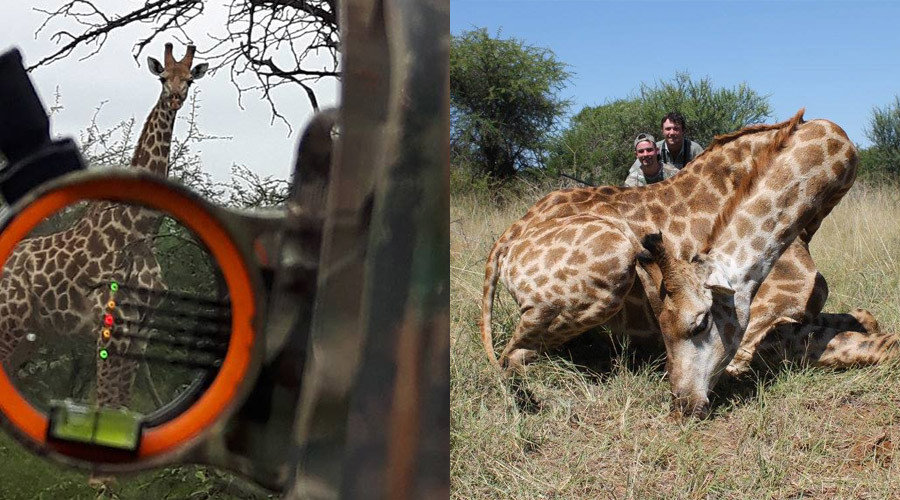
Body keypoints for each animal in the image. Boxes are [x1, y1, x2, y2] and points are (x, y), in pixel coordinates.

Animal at [0, 43, 208, 407]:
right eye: (163, 77)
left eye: (189, 80)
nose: (175, 98)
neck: (141, 231)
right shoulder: (110, 327)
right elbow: (106, 399)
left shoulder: (141, 330)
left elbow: (120, 403)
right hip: (10, 319)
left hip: (32, 331)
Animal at [481, 109, 862, 416]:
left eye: (699, 324)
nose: (682, 403)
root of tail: (505, 242)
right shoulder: (767, 323)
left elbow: (861, 320)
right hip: (614, 258)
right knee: (509, 359)